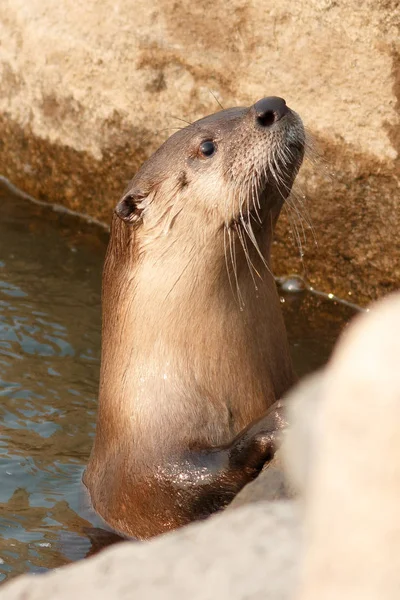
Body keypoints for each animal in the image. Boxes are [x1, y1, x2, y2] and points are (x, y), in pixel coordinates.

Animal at [83, 95, 304, 540]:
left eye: (239, 104)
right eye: (206, 147)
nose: (271, 104)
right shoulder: (142, 477)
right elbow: (185, 483)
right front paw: (272, 424)